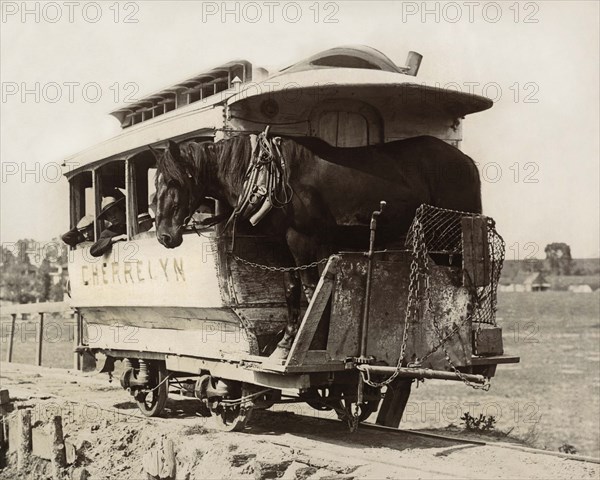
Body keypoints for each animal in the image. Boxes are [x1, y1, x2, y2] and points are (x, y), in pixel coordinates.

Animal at [151, 133, 482, 358]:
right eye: (156, 183)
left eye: (175, 182)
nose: (164, 235)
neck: (272, 177)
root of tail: (467, 162)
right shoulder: (281, 247)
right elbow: (291, 289)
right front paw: (286, 342)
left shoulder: (302, 240)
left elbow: (311, 290)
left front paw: (311, 341)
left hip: (449, 238)